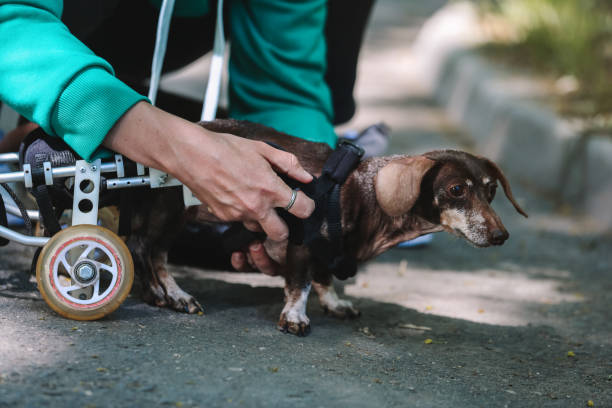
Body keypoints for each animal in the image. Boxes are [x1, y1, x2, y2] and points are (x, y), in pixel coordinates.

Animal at [128, 119, 524, 336]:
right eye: (457, 190)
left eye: (491, 190)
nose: (501, 236)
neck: (365, 193)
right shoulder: (302, 243)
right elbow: (300, 283)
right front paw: (295, 316)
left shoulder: (328, 249)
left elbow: (324, 277)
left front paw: (334, 303)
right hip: (172, 212)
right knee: (151, 252)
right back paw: (174, 294)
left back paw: (154, 294)